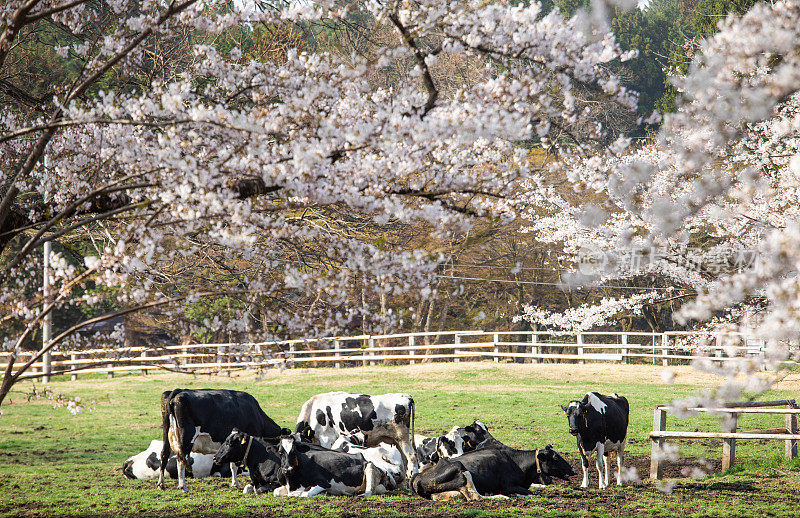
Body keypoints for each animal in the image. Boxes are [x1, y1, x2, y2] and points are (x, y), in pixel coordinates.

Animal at [159, 388, 290, 494]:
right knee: (181, 459)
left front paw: (234, 483)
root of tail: (179, 392)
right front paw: (236, 483)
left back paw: (161, 484)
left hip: (167, 434)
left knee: (164, 454)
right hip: (186, 437)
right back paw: (183, 486)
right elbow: (235, 466)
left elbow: (232, 465)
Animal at [412, 444, 576, 502]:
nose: (573, 470)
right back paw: (501, 497)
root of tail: (416, 478)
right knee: (474, 497)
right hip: (460, 469)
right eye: (555, 458)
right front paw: (516, 495)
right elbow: (529, 493)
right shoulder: (508, 485)